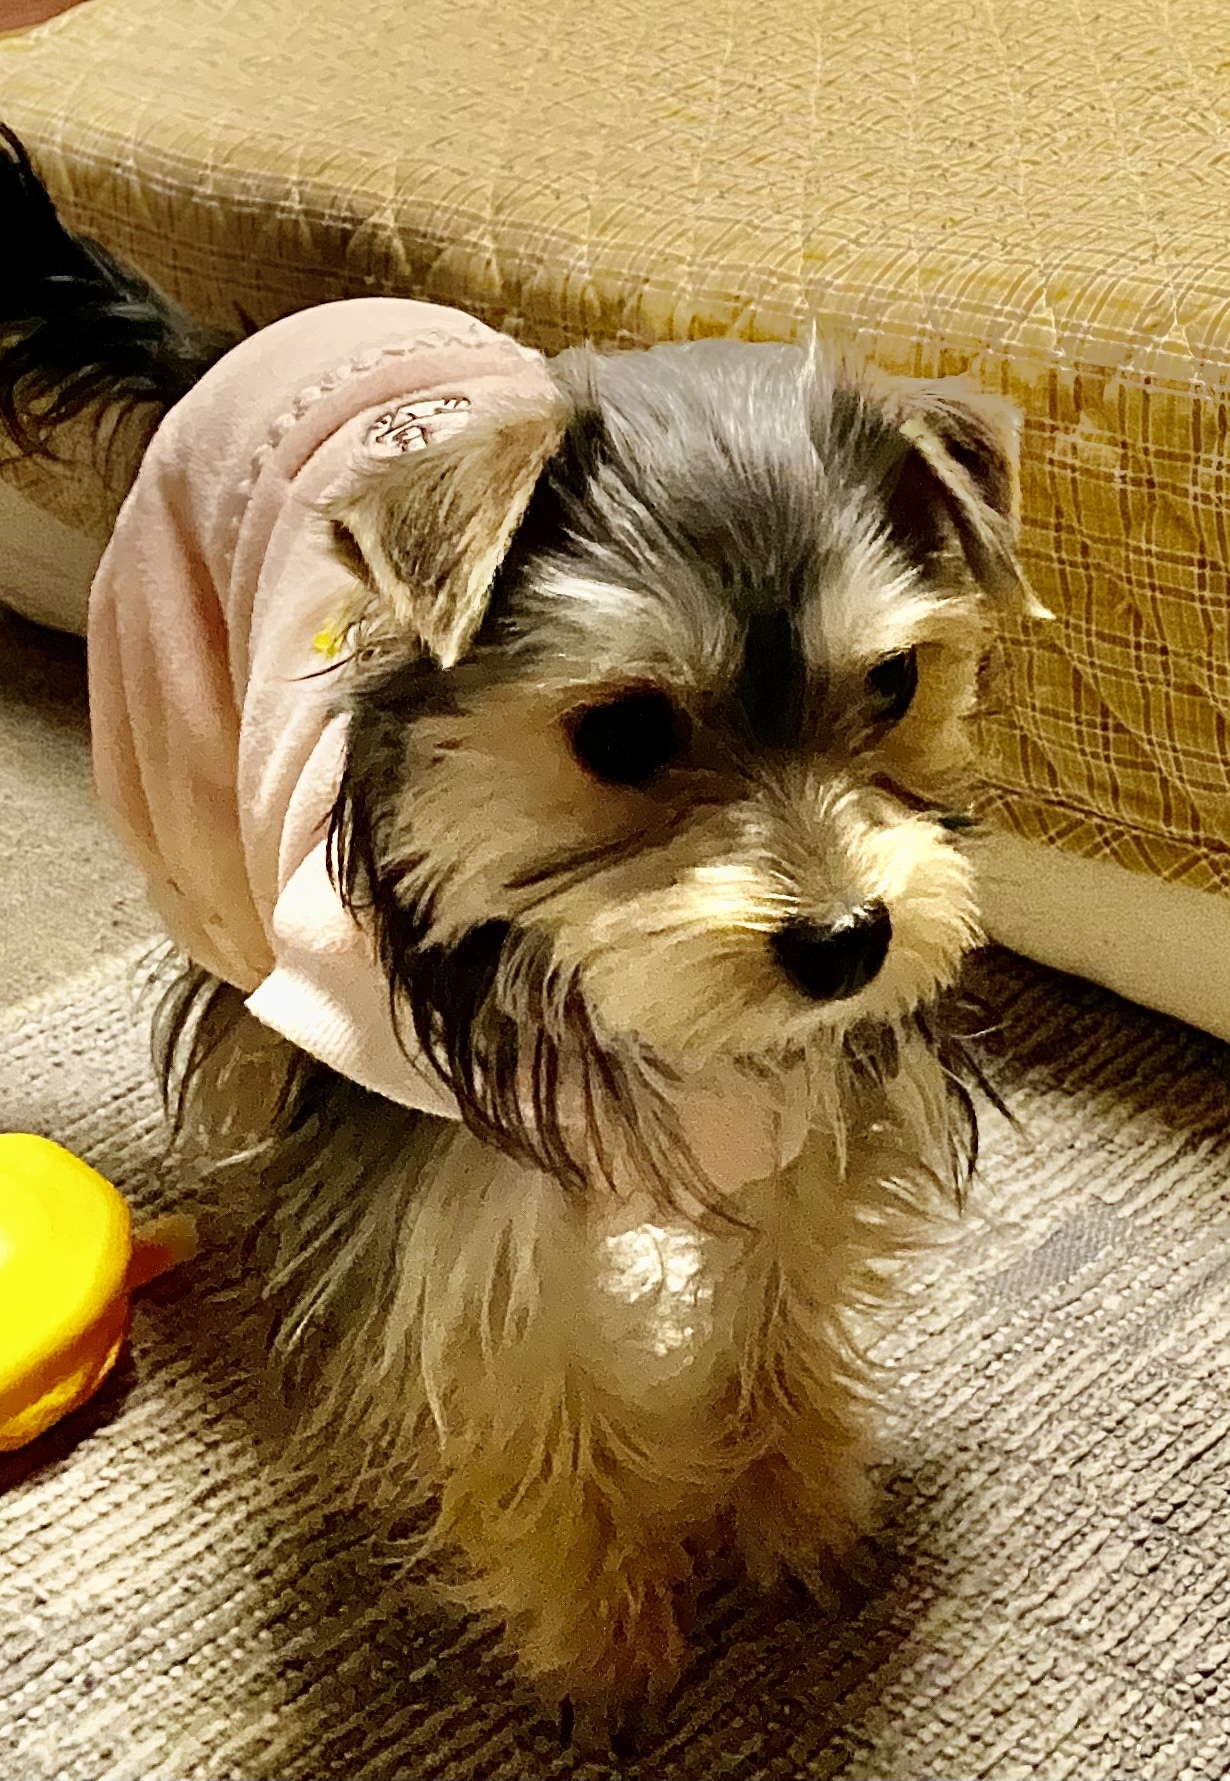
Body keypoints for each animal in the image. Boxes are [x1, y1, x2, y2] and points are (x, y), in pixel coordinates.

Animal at [0, 125, 1031, 1734]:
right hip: (178, 773)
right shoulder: (449, 1186)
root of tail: (232, 341)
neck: (631, 997)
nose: (847, 943)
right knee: (231, 1005)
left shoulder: (813, 1116)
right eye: (620, 733)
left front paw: (789, 1510)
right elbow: (523, 1378)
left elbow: (777, 1304)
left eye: (892, 685)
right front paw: (602, 1638)